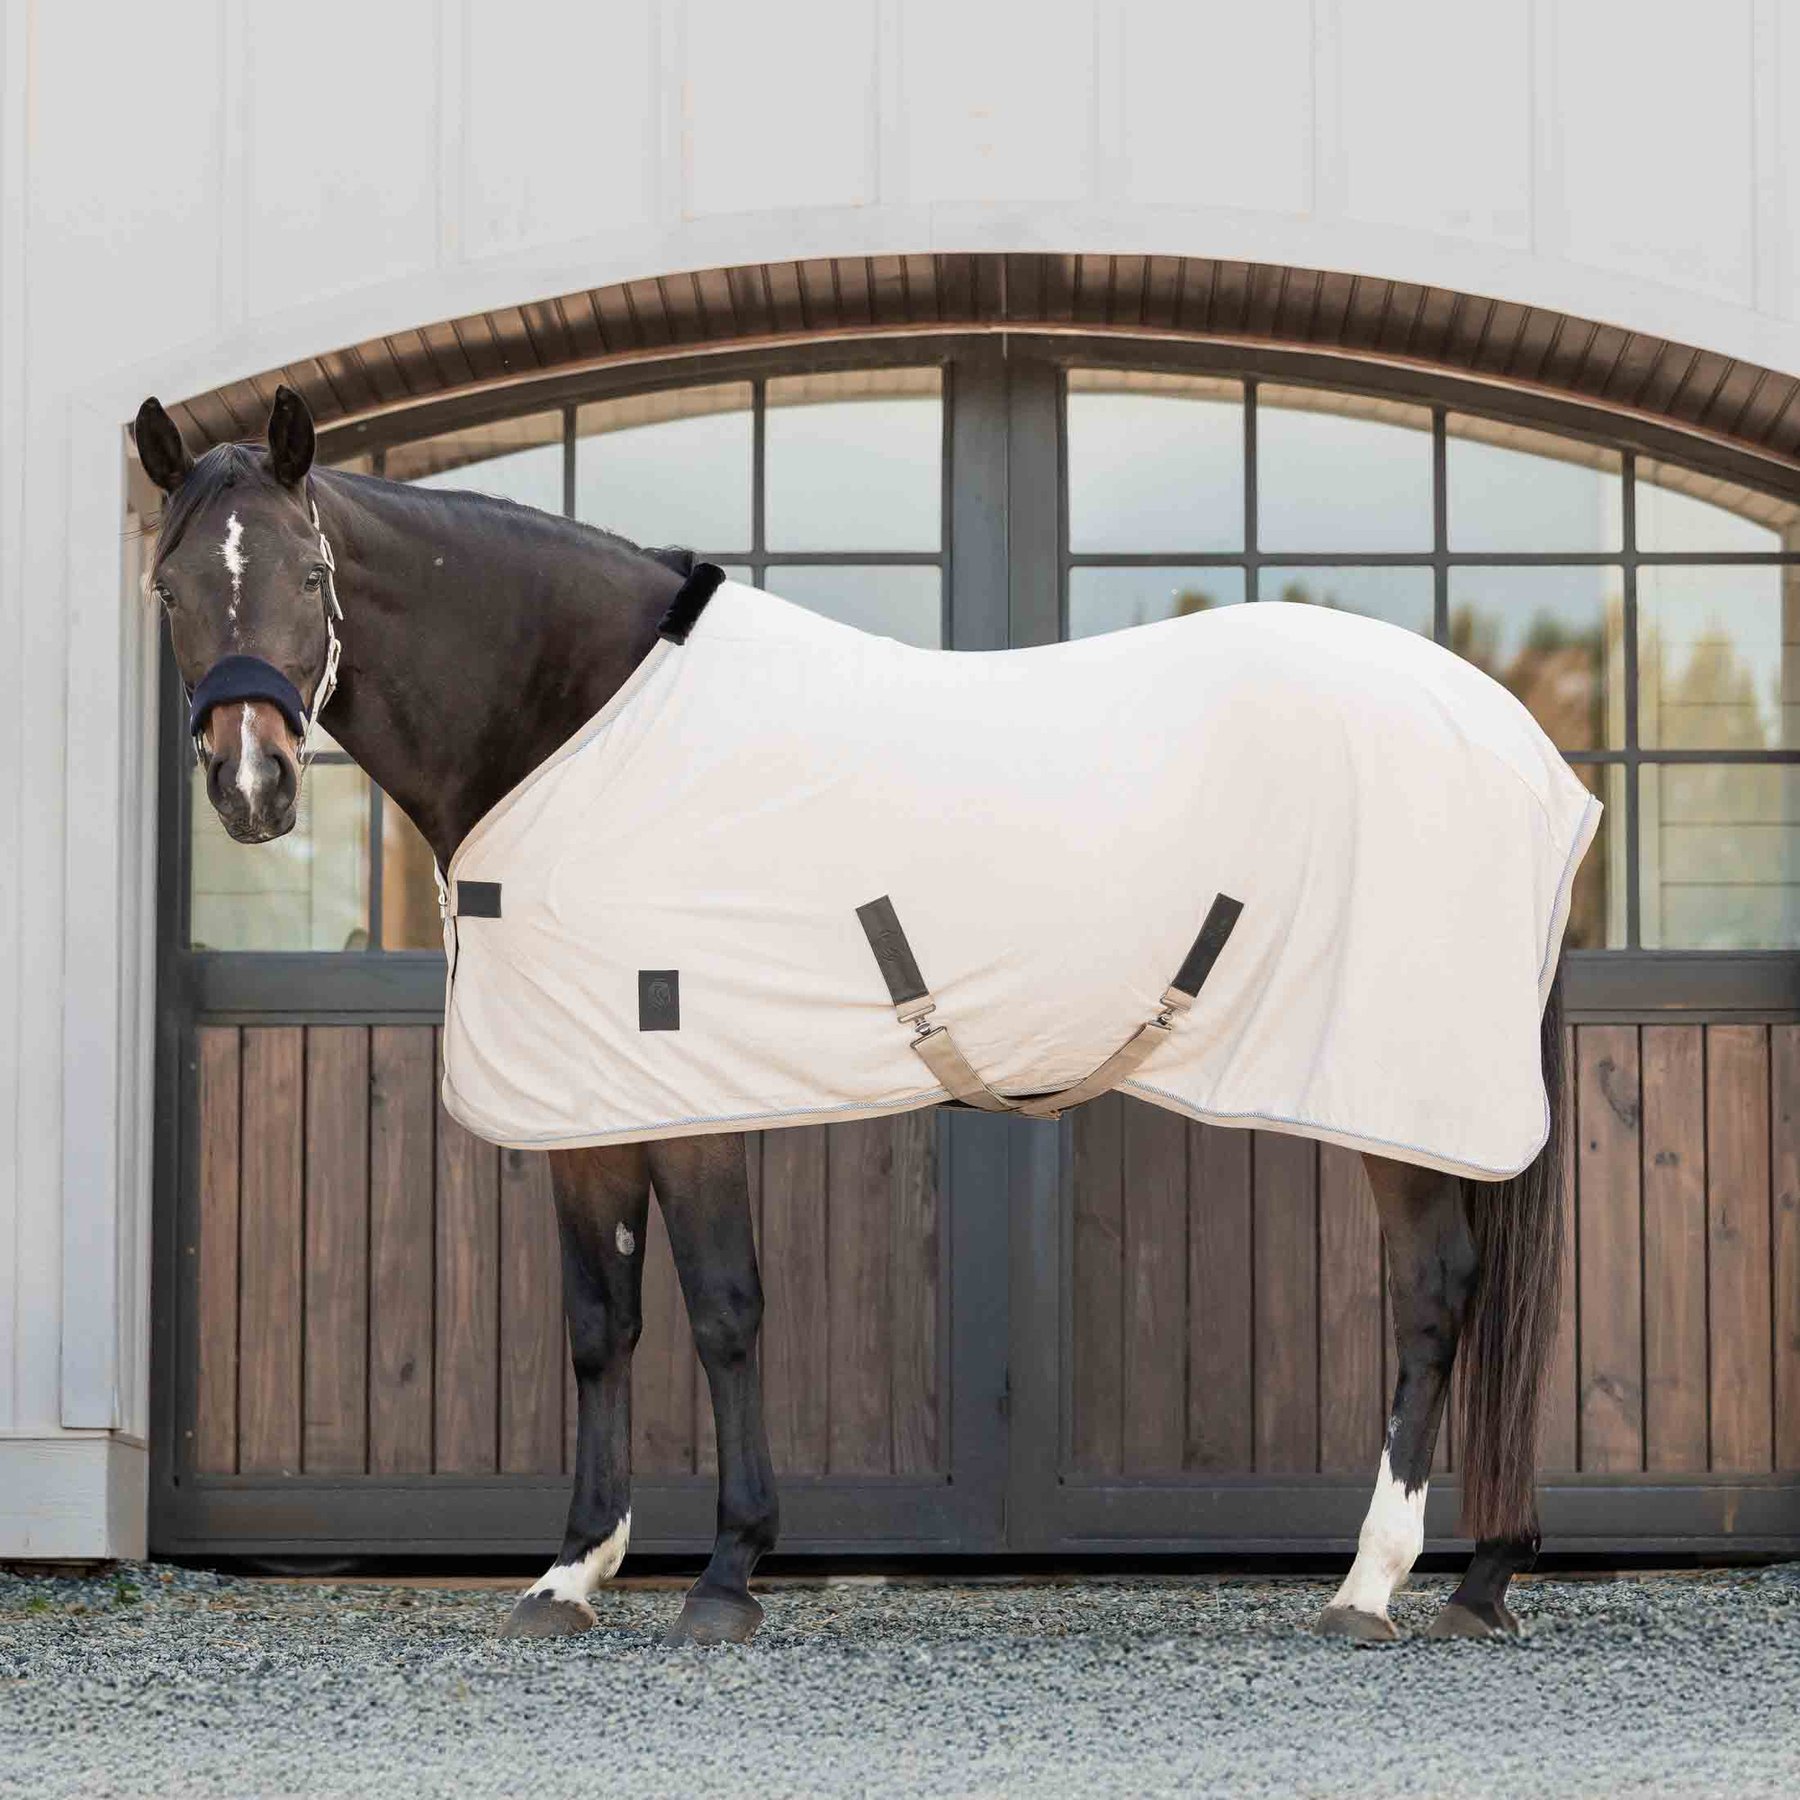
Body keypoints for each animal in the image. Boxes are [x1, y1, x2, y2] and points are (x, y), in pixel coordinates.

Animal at [137, 385, 1566, 1646]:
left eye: (307, 578)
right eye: (169, 587)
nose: (254, 786)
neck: (580, 730)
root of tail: (1515, 738)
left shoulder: (688, 1093)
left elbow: (723, 1312)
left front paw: (727, 1577)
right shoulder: (589, 1107)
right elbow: (603, 1328)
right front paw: (569, 1575)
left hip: (1391, 1091)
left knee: (1434, 1294)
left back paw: (1373, 1586)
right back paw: (1480, 1581)